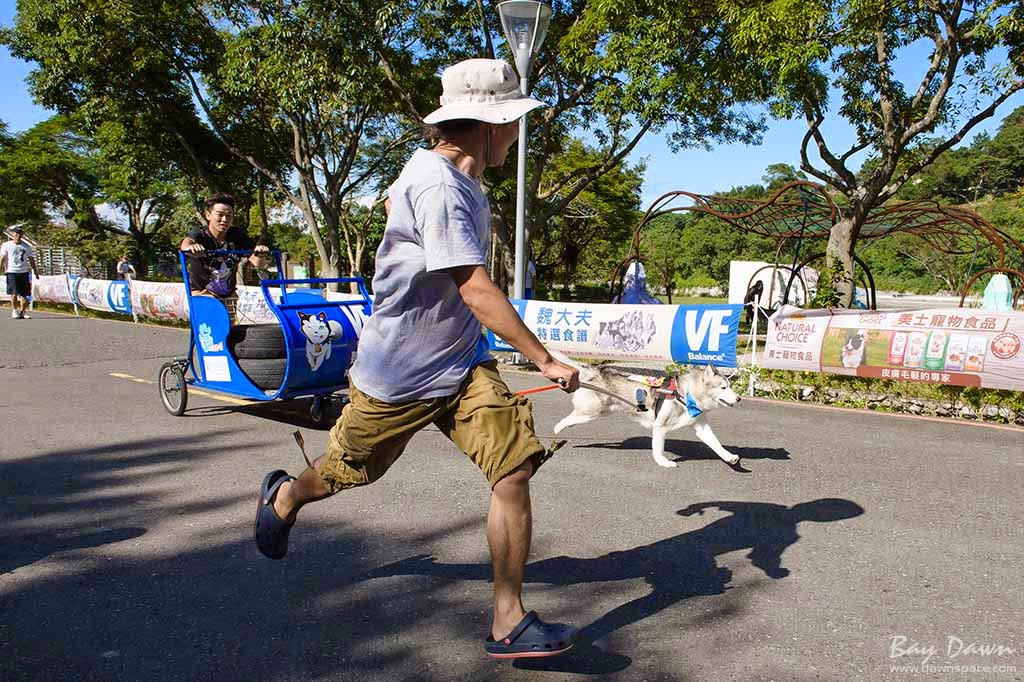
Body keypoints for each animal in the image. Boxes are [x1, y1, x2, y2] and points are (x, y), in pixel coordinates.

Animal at [552, 350, 745, 466]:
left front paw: (730, 457)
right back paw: (557, 429)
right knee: (567, 420)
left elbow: (716, 444)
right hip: (591, 412)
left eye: (730, 386)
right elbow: (658, 449)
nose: (739, 398)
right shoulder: (659, 426)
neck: (685, 395)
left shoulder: (701, 426)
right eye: (723, 388)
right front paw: (663, 462)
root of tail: (598, 371)